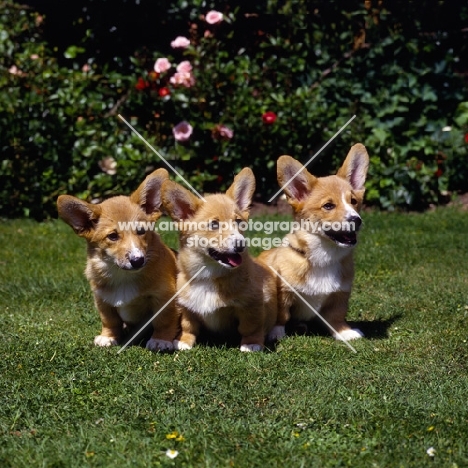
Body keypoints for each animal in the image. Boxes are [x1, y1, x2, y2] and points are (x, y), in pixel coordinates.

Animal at [55, 168, 179, 352]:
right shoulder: (102, 301)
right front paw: (108, 337)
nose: (138, 260)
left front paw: (161, 340)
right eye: (112, 236)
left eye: (141, 231)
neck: (123, 276)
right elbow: (109, 321)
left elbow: (164, 320)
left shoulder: (164, 297)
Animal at [161, 168, 278, 352]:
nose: (241, 244)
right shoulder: (187, 307)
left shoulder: (252, 305)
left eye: (238, 221)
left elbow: (251, 327)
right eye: (214, 225)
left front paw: (251, 344)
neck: (209, 275)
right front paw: (183, 341)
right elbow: (188, 325)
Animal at [260, 144, 370, 342]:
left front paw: (344, 332)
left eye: (353, 201)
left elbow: (336, 317)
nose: (356, 220)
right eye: (328, 206)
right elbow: (282, 315)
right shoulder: (284, 292)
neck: (324, 256)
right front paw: (276, 333)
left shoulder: (340, 295)